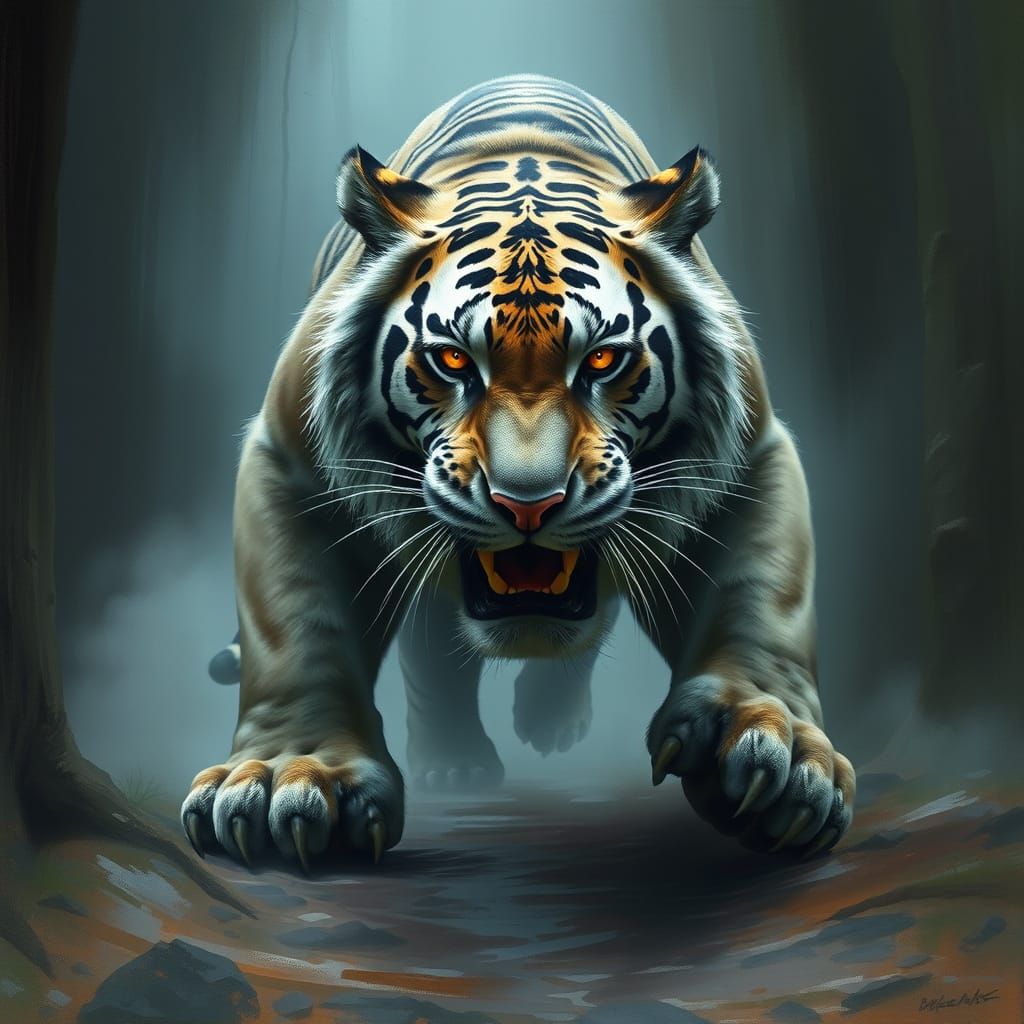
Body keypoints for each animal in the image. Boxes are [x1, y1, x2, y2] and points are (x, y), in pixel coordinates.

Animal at [182, 74, 855, 872]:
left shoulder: (750, 458)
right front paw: (290, 773)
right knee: (431, 646)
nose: (527, 503)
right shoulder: (293, 465)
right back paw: (455, 763)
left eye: (603, 360)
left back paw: (551, 721)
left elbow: (761, 602)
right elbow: (297, 630)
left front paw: (766, 748)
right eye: (451, 360)